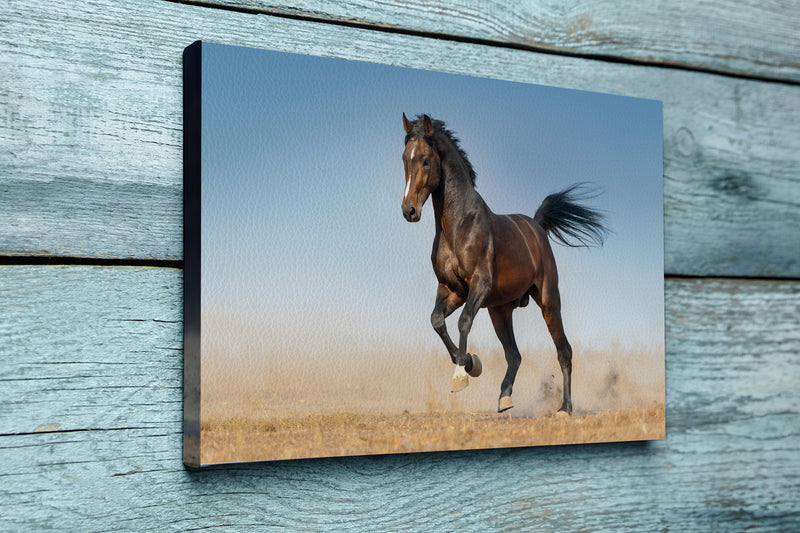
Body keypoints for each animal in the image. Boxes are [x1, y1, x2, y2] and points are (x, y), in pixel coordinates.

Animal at [400, 113, 608, 416]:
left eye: (426, 160)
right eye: (405, 158)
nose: (409, 210)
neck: (458, 225)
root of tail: (536, 226)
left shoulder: (479, 285)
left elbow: (463, 321)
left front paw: (461, 375)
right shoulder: (452, 289)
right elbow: (437, 320)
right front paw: (472, 364)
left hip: (548, 300)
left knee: (564, 351)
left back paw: (564, 408)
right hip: (500, 310)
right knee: (514, 354)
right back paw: (504, 398)